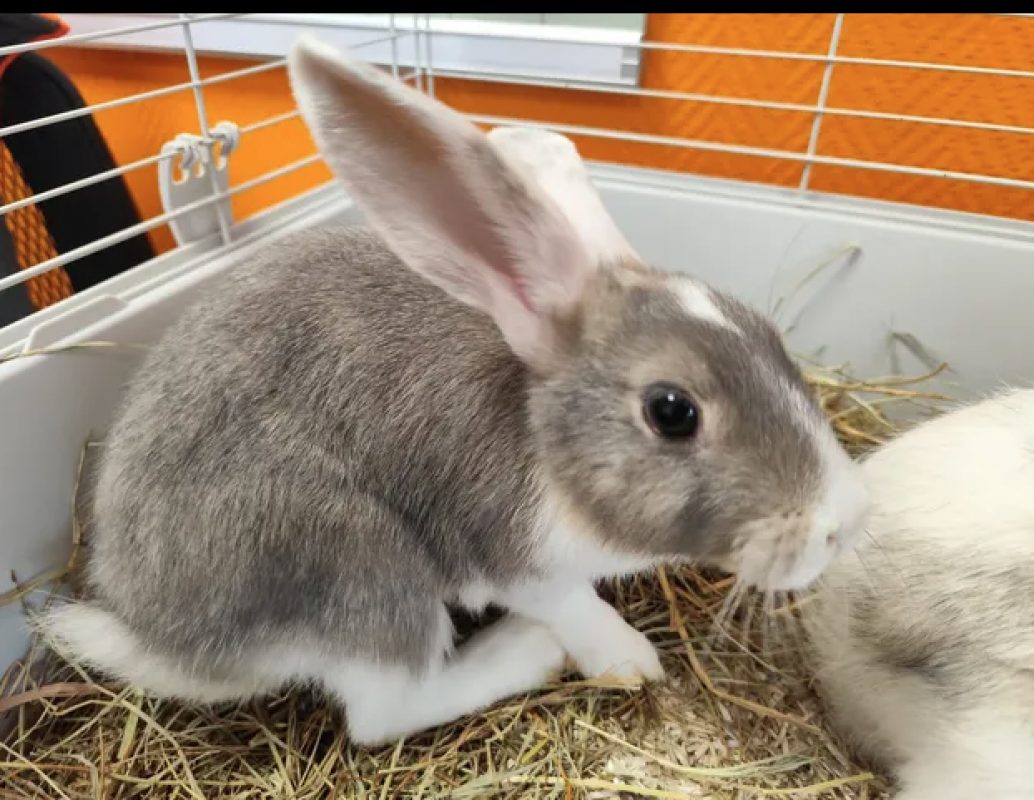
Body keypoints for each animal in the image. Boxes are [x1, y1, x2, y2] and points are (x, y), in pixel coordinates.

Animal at [38, 36, 869, 747]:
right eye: (673, 412)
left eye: (767, 333)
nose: (838, 525)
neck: (545, 433)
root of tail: (159, 638)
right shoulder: (518, 558)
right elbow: (577, 607)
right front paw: (629, 660)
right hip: (359, 566)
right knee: (384, 710)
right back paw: (524, 653)